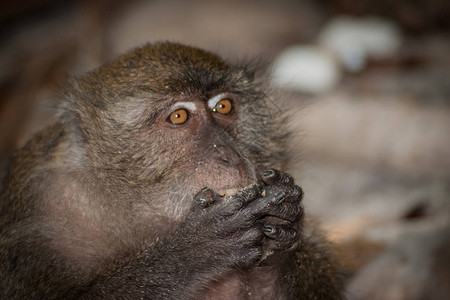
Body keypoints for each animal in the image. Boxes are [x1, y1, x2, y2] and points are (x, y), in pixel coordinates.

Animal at [0, 41, 342, 298]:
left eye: (223, 106)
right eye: (179, 116)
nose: (230, 156)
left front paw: (280, 231)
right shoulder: (39, 215)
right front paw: (192, 251)